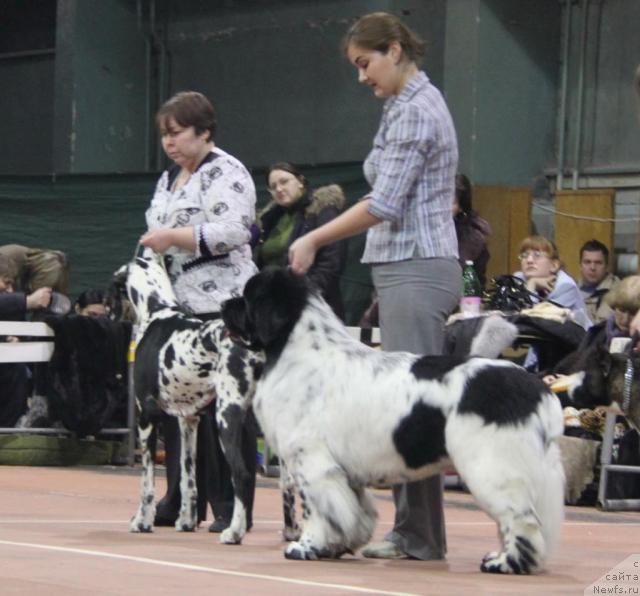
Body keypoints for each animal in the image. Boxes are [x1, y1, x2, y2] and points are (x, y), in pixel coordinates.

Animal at [221, 268, 564, 576]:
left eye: (248, 297)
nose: (224, 304)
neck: (298, 352)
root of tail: (537, 388)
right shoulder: (344, 472)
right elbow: (353, 512)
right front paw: (339, 546)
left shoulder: (312, 462)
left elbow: (318, 510)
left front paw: (306, 547)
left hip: (491, 467)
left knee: (521, 520)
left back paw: (507, 564)